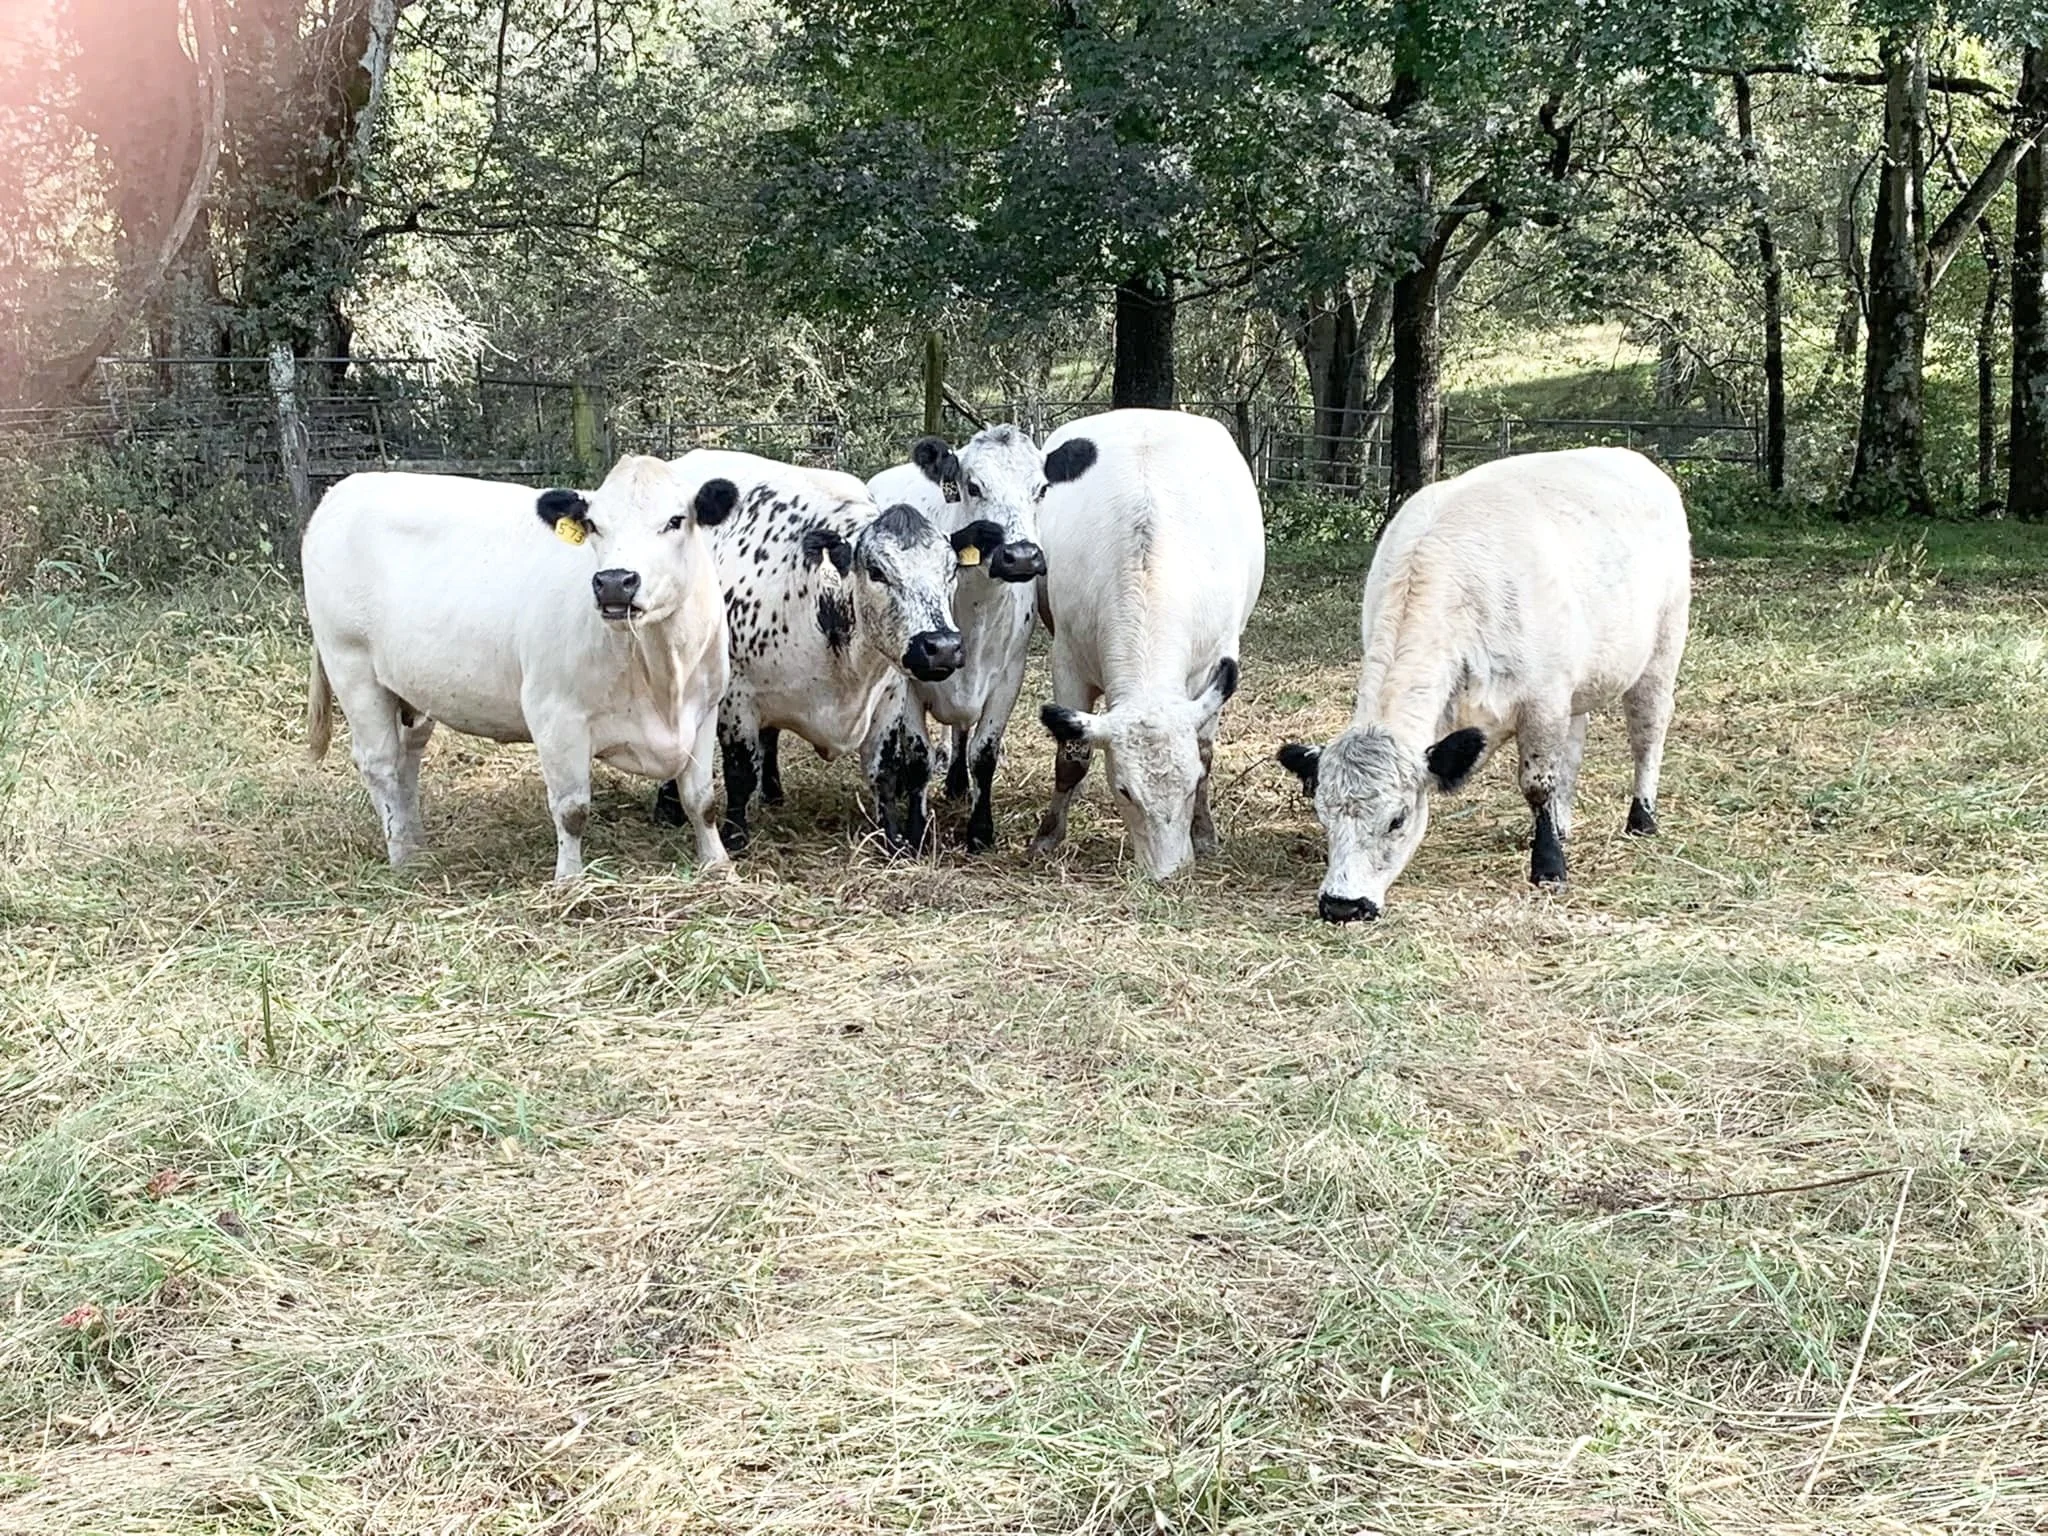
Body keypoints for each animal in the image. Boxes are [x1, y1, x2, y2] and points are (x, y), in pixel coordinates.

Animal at [302, 456, 735, 881]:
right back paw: (402, 857)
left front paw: (718, 864)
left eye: (675, 520)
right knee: (381, 763)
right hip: (352, 667)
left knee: (408, 757)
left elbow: (702, 800)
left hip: (411, 690)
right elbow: (572, 810)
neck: (660, 669)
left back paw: (417, 845)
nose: (614, 582)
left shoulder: (703, 711)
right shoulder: (555, 714)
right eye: (593, 524)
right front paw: (570, 881)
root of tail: (346, 487)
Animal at [650, 450, 965, 852]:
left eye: (952, 569)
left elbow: (884, 773)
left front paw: (892, 838)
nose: (942, 647)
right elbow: (740, 772)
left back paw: (773, 792)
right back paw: (668, 806)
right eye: (877, 570)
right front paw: (735, 836)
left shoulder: (889, 699)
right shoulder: (737, 695)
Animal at [863, 425, 1048, 850]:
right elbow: (918, 756)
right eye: (973, 485)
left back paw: (957, 782)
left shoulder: (1009, 676)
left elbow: (984, 753)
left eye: (1042, 489)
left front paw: (980, 830)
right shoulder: (908, 678)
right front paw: (916, 828)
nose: (1021, 556)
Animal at [1028, 408, 1266, 878]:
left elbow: (1206, 751)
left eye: (1190, 785)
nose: (1168, 872)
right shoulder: (1066, 661)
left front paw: (1204, 833)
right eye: (1124, 790)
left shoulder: (1215, 665)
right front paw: (1048, 835)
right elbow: (1071, 758)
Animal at [1276, 446, 1691, 922]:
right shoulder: (1553, 700)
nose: (1343, 905)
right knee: (1575, 749)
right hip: (1578, 690)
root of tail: (1632, 458)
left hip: (1661, 651)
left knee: (1647, 734)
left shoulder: (1543, 703)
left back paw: (1642, 819)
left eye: (1398, 818)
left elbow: (1537, 785)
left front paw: (1549, 866)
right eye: (1322, 815)